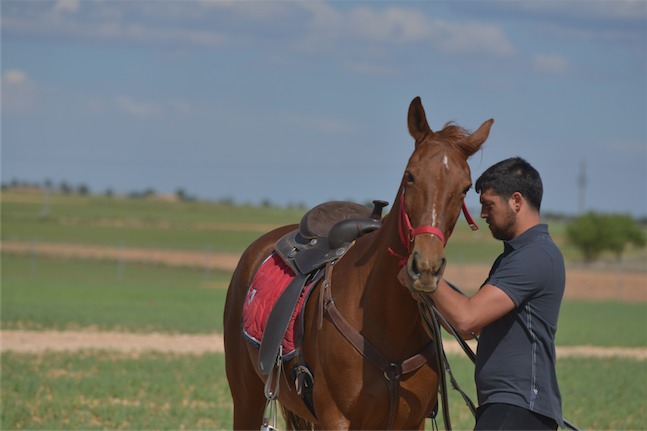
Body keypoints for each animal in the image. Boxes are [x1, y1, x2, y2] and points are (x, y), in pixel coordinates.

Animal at [225, 96, 494, 430]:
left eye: (466, 188)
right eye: (410, 175)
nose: (426, 267)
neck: (388, 326)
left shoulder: (410, 422)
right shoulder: (336, 419)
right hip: (246, 398)